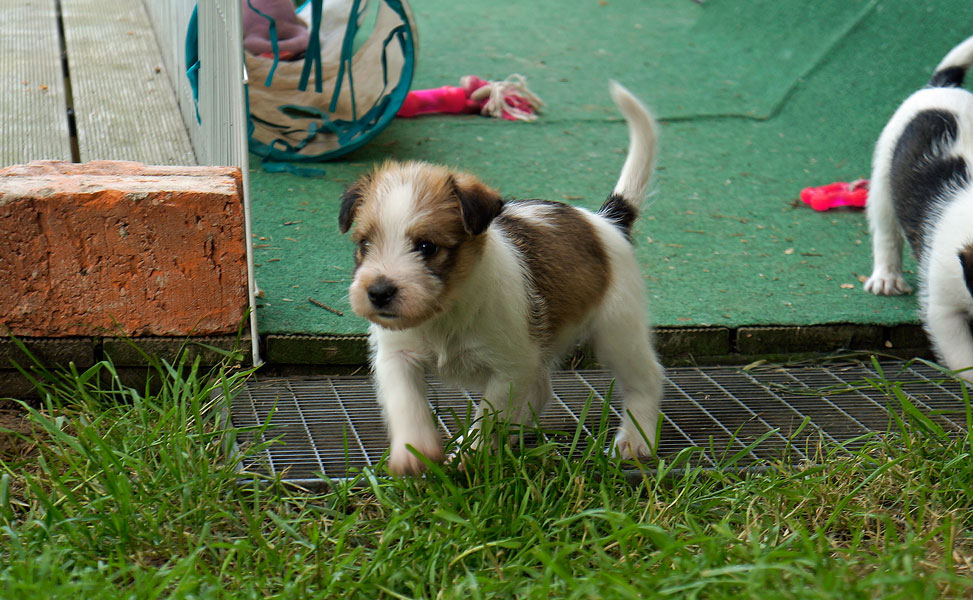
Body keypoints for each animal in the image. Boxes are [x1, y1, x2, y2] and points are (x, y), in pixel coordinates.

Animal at [338, 82, 664, 474]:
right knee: (540, 390)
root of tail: (606, 221)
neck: (446, 313)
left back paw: (635, 439)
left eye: (427, 246)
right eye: (364, 244)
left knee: (646, 379)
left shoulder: (509, 368)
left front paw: (471, 453)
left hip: (617, 331)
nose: (379, 292)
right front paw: (414, 451)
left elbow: (488, 413)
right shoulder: (396, 355)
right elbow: (407, 404)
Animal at [865, 35, 973, 380]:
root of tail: (943, 86)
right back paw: (886, 278)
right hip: (882, 178)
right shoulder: (944, 311)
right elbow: (966, 359)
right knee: (885, 234)